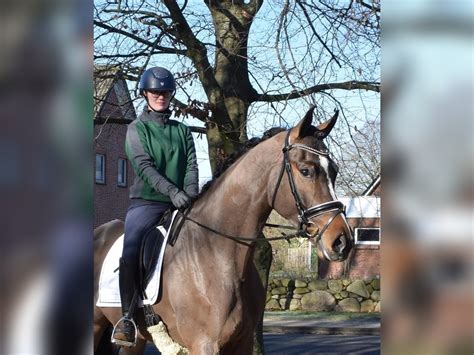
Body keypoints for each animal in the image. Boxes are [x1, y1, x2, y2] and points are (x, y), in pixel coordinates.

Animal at [93, 106, 352, 355]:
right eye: (306, 170)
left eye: (335, 170)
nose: (341, 241)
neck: (218, 255)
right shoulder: (204, 345)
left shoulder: (243, 343)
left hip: (136, 341)